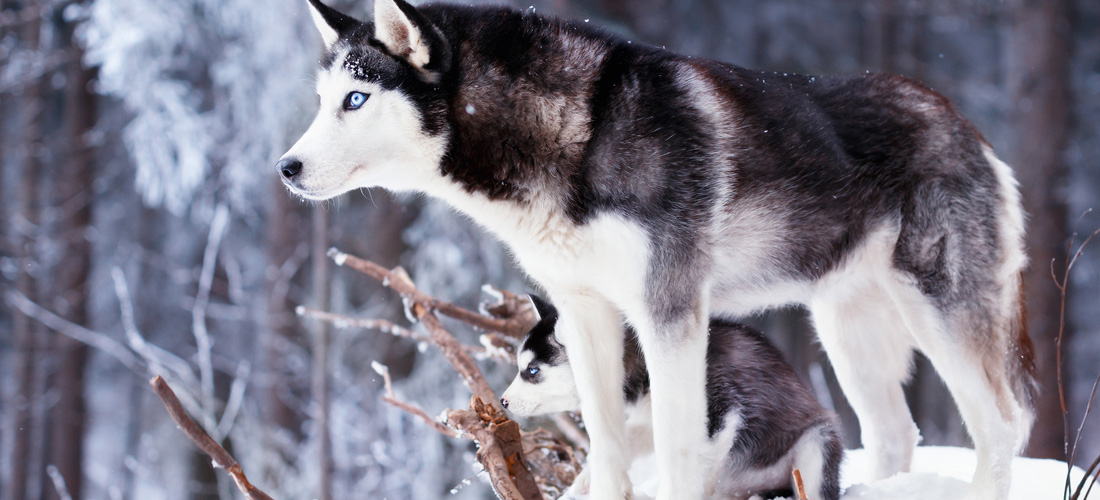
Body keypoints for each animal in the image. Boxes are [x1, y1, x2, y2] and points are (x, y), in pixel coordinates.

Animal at [501, 296, 840, 500]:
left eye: (532, 370)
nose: (502, 402)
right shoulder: (650, 421)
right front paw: (585, 483)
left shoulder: (719, 414)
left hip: (816, 443)